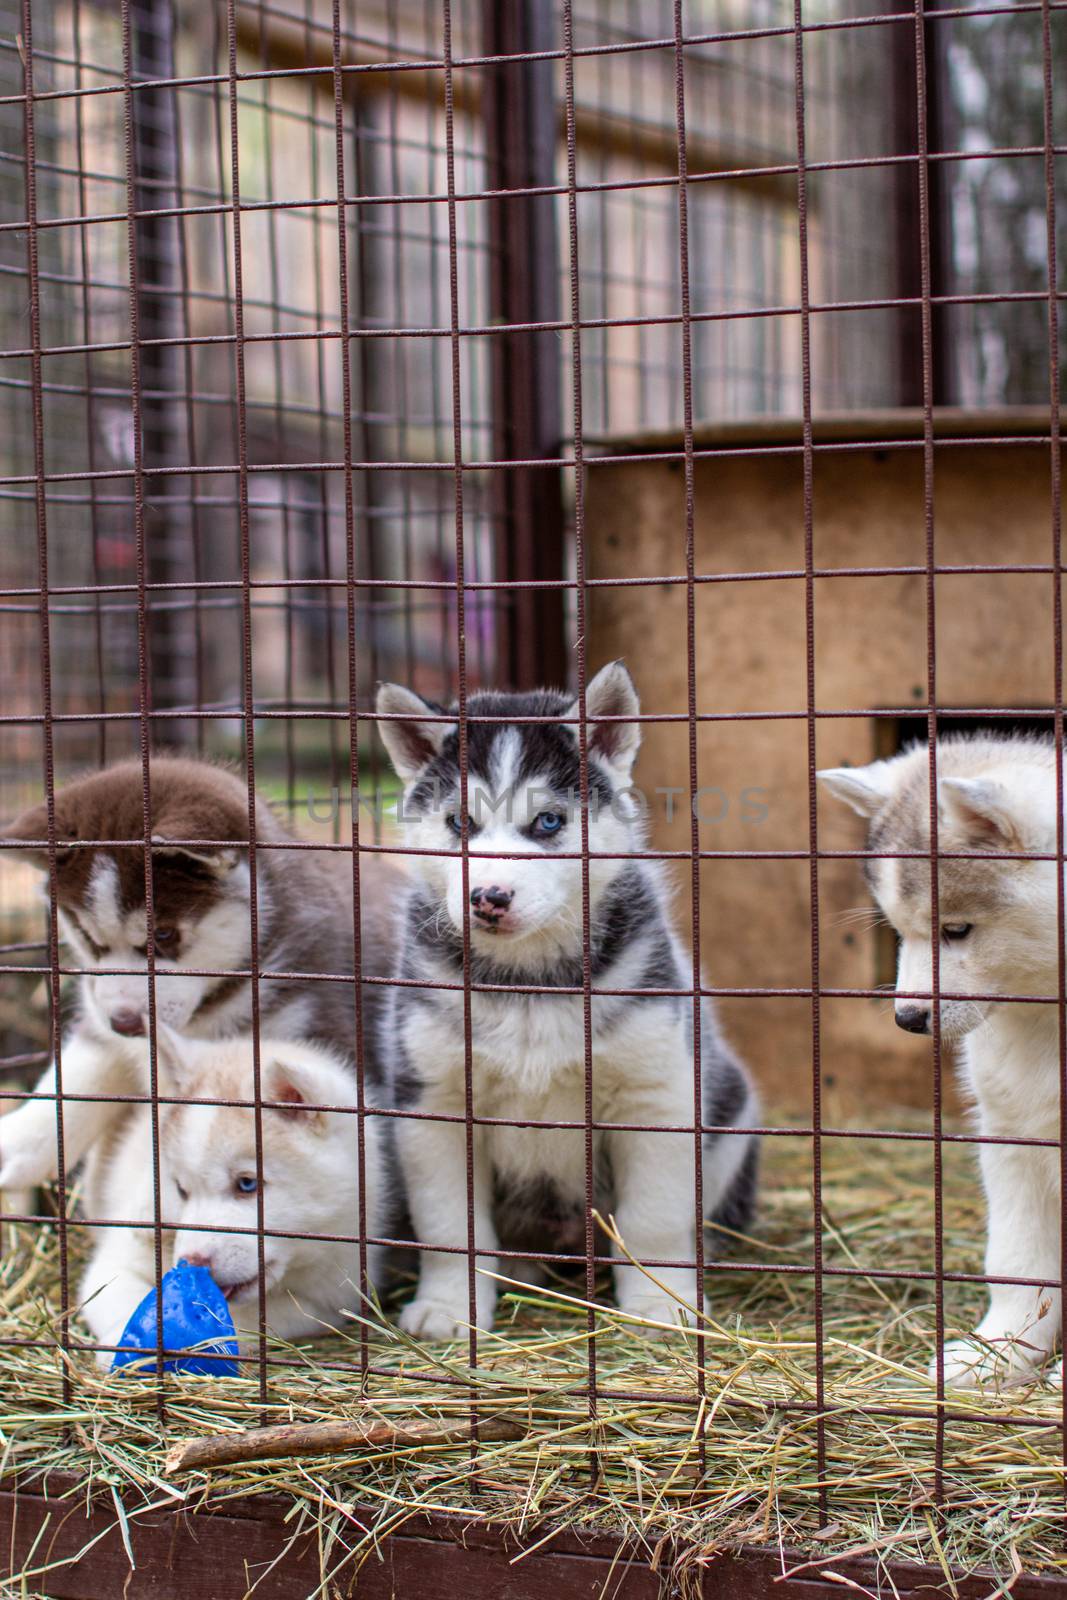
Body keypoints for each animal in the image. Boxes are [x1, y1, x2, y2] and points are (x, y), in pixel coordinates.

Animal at [1, 755, 399, 1196]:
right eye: (88, 937)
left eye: (163, 934)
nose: (124, 1023)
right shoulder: (99, 1006)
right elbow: (81, 1065)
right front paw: (17, 1142)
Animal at [80, 1024, 388, 1363]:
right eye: (181, 1189)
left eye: (247, 1184)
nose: (193, 1262)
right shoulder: (112, 1266)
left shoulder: (327, 1301)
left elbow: (244, 1321)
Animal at [825, 736, 1067, 1388]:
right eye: (896, 931)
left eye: (956, 929)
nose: (908, 1019)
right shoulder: (1011, 1136)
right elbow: (1018, 1261)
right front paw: (1000, 1352)